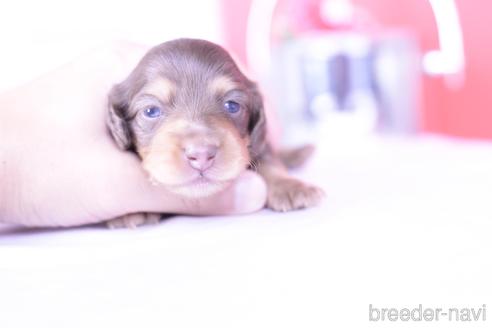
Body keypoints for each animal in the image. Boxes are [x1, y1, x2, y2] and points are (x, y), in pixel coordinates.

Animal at [106, 38, 324, 228]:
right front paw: (130, 211)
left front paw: (290, 186)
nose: (201, 155)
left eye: (232, 105)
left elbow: (269, 159)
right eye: (151, 111)